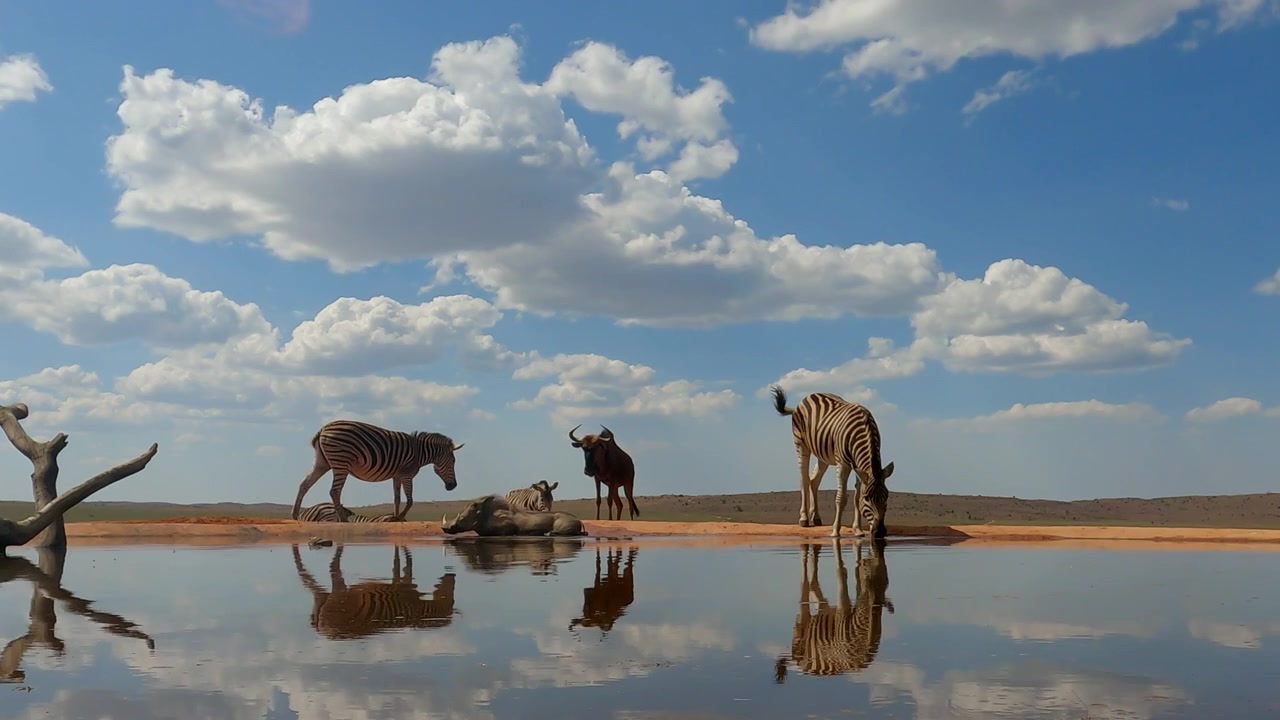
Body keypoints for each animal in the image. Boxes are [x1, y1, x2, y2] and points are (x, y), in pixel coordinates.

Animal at [291, 419, 465, 523]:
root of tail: (322, 429)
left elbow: (397, 498)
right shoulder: (407, 474)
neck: (420, 452)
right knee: (334, 491)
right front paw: (401, 516)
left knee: (304, 484)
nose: (453, 486)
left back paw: (295, 514)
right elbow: (410, 500)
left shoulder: (397, 475)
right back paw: (343, 519)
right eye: (453, 462)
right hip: (341, 462)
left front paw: (396, 517)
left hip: (323, 462)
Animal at [770, 385, 895, 539]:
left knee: (814, 481)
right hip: (801, 444)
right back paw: (804, 519)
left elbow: (855, 497)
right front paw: (835, 531)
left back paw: (816, 518)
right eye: (867, 498)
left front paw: (858, 530)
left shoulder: (858, 466)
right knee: (804, 479)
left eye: (887, 496)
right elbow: (841, 498)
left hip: (822, 456)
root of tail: (805, 398)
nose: (880, 532)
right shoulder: (843, 464)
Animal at [774, 539, 894, 682]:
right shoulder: (843, 614)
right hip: (800, 628)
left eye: (887, 581)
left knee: (814, 585)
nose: (872, 552)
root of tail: (798, 663)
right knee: (804, 587)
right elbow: (843, 572)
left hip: (823, 615)